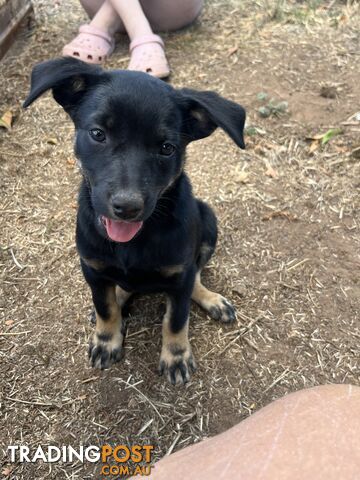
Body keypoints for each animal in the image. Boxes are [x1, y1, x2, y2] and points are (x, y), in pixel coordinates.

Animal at [23, 57, 246, 386]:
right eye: (98, 134)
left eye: (167, 148)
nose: (127, 207)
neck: (136, 240)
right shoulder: (92, 268)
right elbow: (106, 308)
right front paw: (106, 339)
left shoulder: (179, 274)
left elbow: (176, 319)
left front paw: (176, 356)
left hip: (208, 222)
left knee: (196, 276)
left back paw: (210, 299)